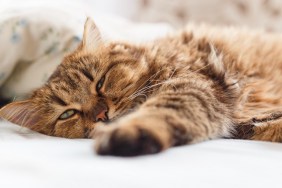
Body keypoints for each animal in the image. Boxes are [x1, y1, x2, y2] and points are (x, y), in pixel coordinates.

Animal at [0, 18, 282, 156]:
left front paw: (130, 133)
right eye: (68, 113)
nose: (101, 115)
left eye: (100, 82)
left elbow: (159, 113)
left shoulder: (191, 86)